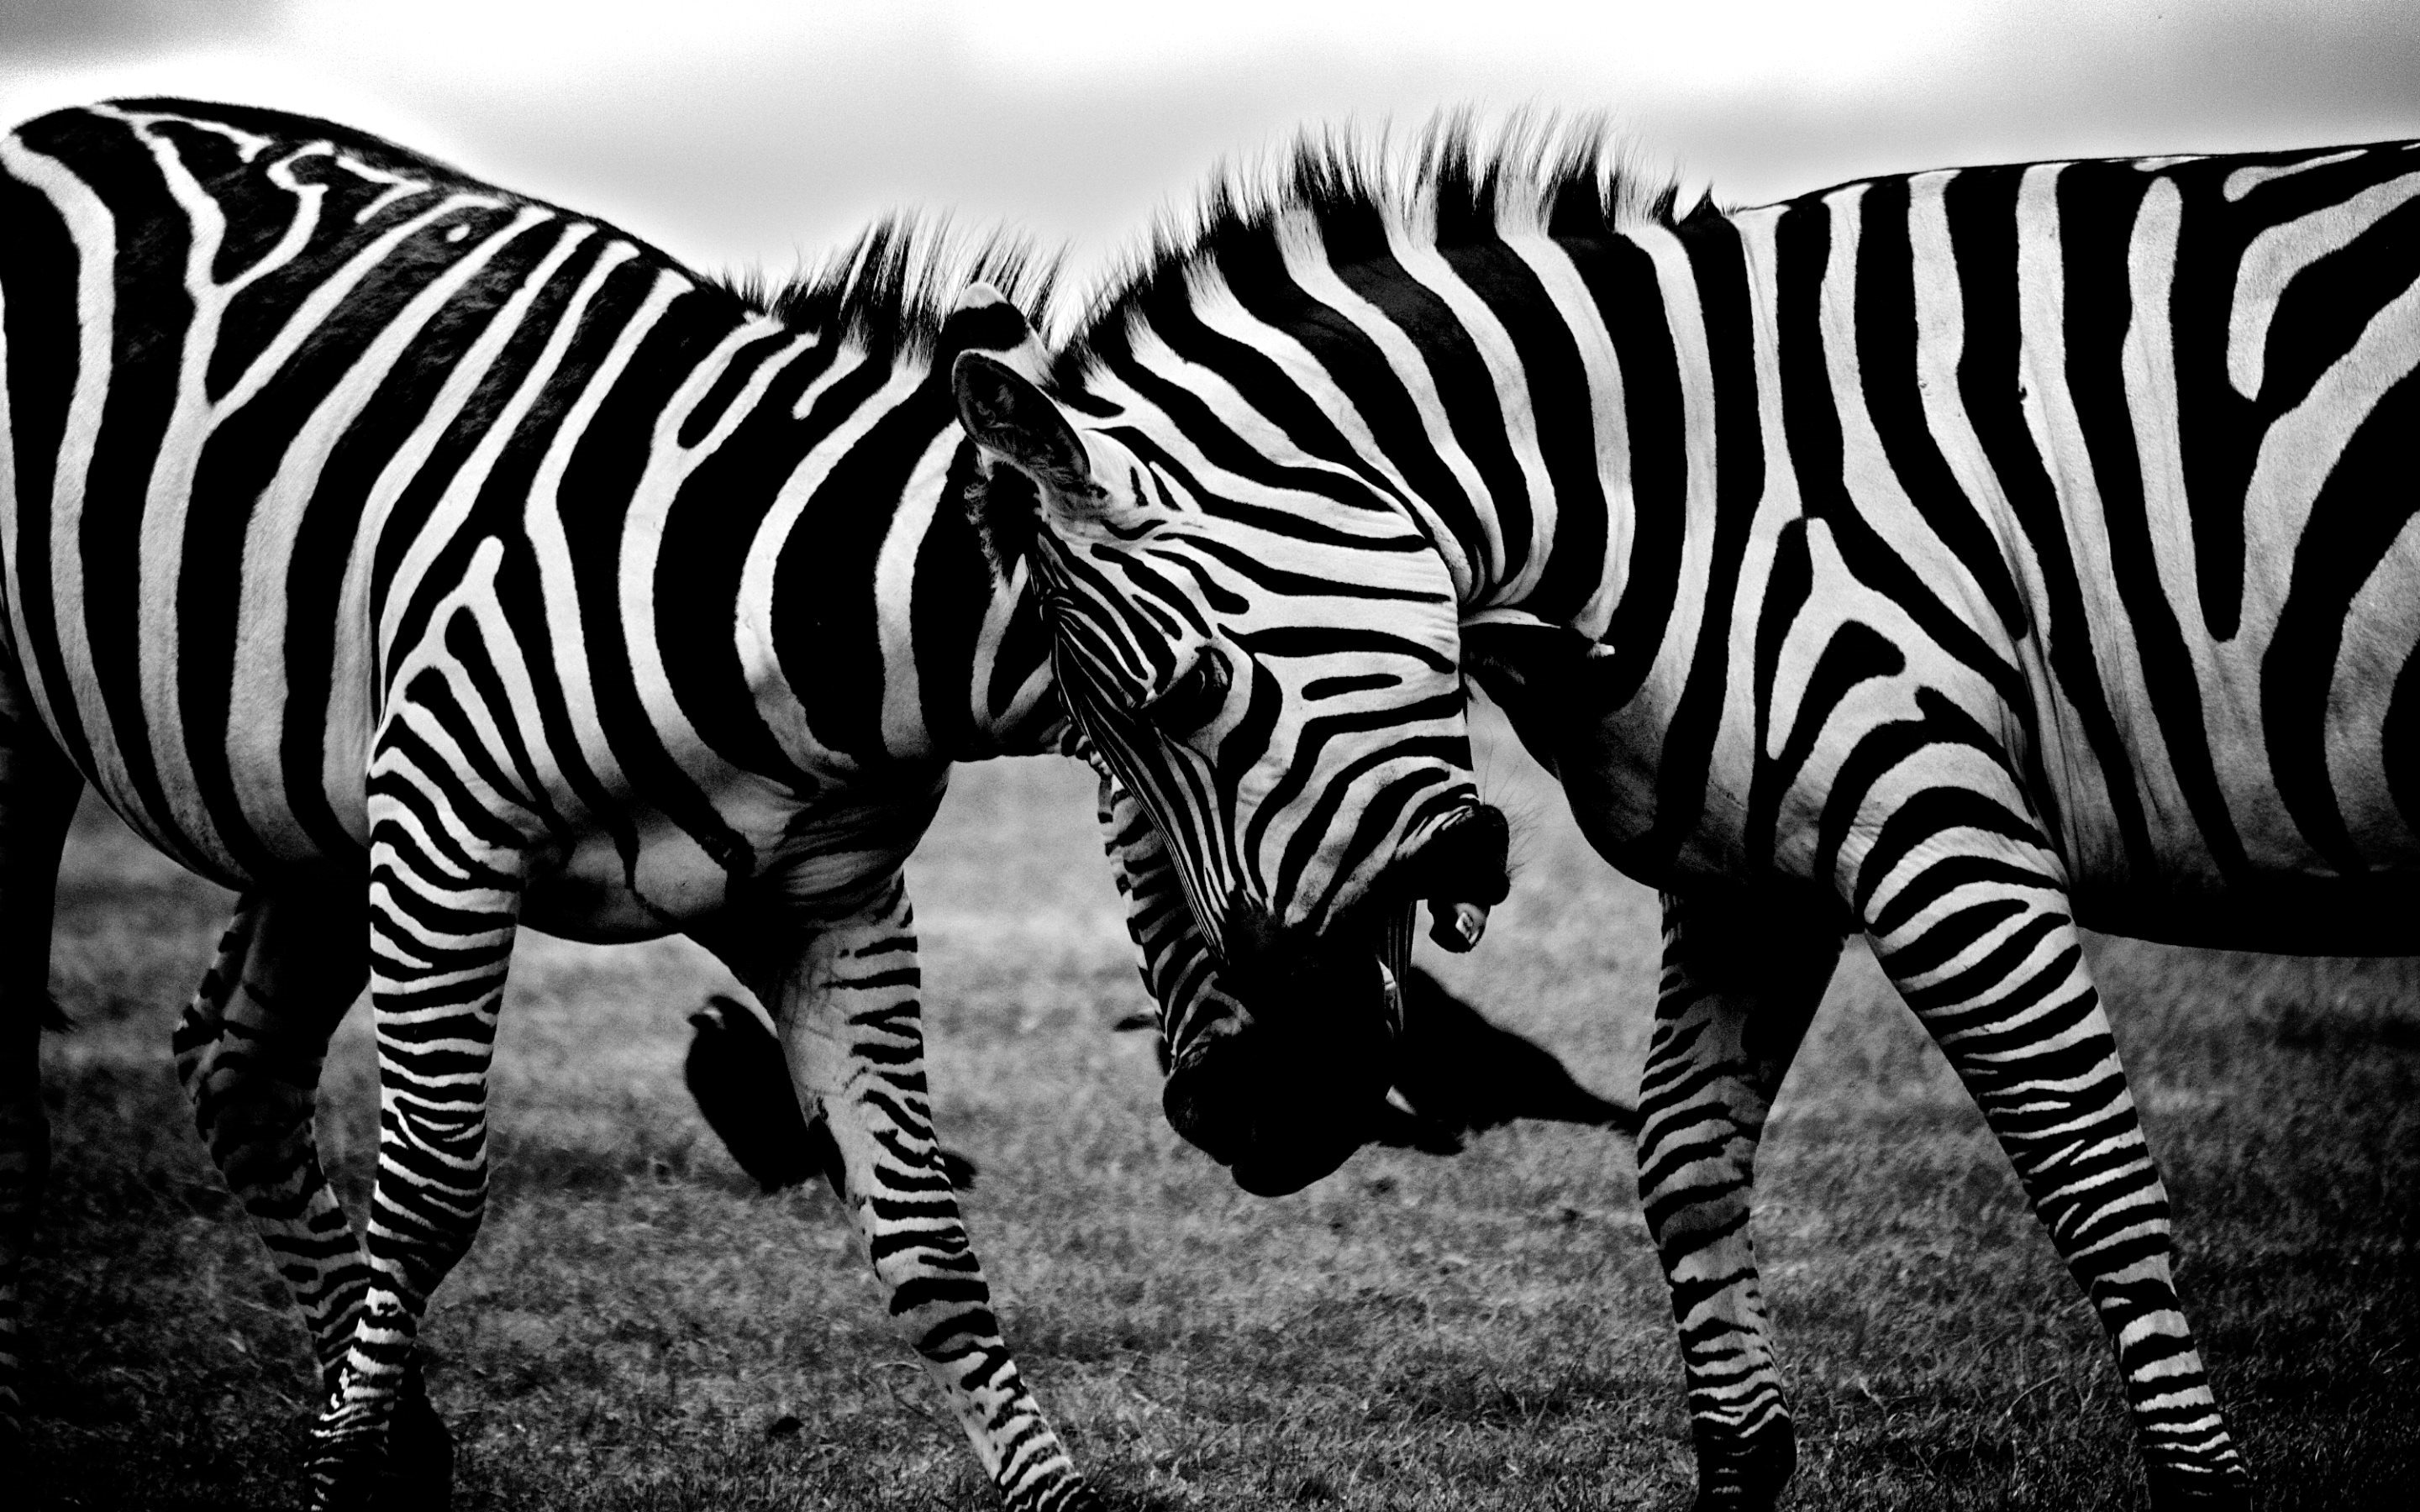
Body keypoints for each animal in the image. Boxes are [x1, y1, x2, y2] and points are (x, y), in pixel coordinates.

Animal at [0, 96, 1161, 1511]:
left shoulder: (824, 900)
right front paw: (341, 1471)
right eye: (1219, 698)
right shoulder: (443, 821)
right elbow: (431, 1191)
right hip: (57, 736)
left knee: (237, 1067)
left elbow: (922, 1226)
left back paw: (399, 1437)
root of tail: (56, 124)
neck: (807, 598)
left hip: (321, 813)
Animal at [947, 121, 2420, 1510]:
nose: (1245, 1115)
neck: (1693, 491)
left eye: (1189, 694)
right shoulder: (1751, 871)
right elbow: (1683, 1160)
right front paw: (1741, 1459)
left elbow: (2093, 1179)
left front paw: (2202, 1486)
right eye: (1094, 756)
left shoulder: (1943, 829)